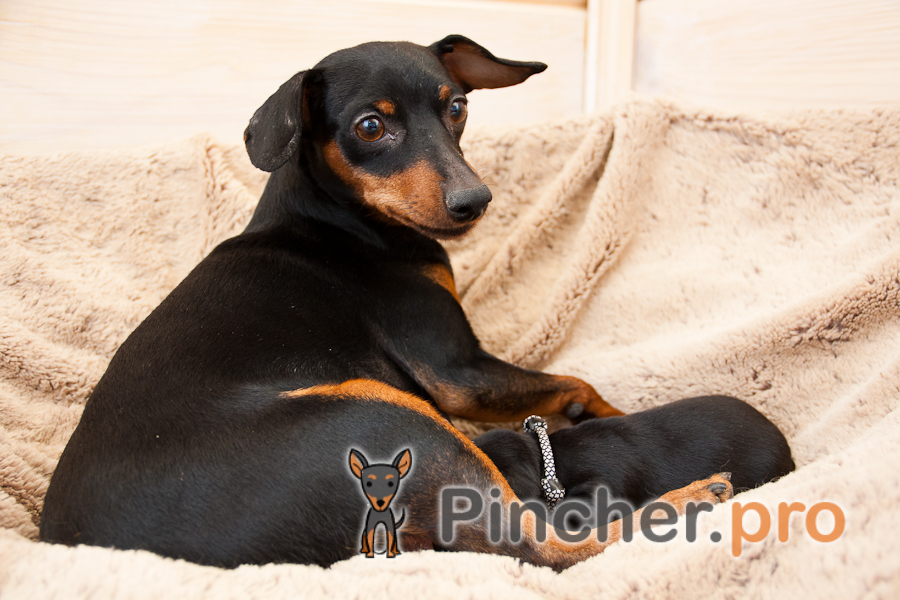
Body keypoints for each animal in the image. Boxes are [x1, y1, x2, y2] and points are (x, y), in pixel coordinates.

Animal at [39, 35, 733, 571]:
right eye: (371, 127)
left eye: (457, 107)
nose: (475, 200)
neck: (339, 220)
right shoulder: (458, 373)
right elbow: (578, 381)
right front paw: (625, 416)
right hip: (387, 415)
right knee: (547, 547)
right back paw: (696, 497)